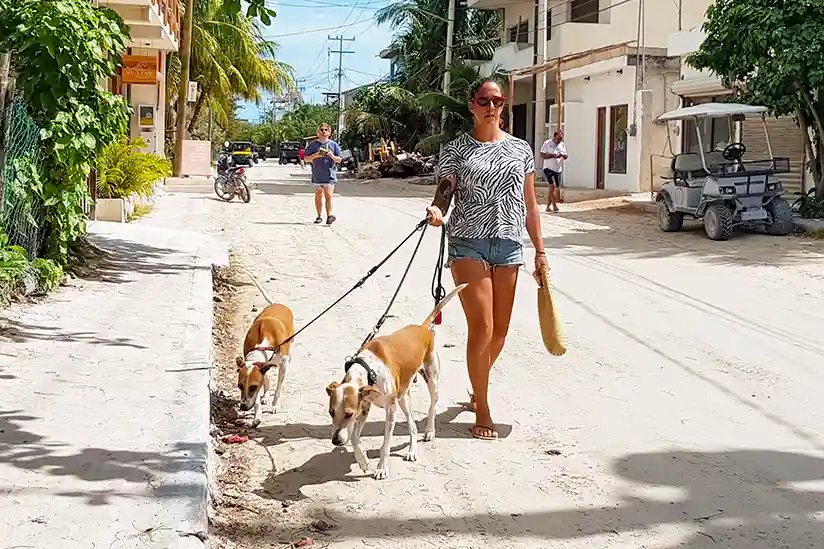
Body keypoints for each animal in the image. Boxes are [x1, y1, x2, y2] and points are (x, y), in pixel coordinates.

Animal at [235, 272, 296, 426]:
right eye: (239, 385)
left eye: (252, 387)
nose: (243, 407)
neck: (262, 346)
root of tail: (276, 303)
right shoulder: (261, 369)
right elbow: (262, 383)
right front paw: (257, 414)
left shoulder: (283, 364)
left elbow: (279, 387)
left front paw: (275, 405)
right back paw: (265, 396)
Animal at [328, 282, 470, 480]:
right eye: (331, 412)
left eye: (348, 414)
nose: (335, 441)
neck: (369, 368)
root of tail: (423, 328)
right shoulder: (364, 406)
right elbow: (355, 437)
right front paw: (362, 460)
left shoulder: (390, 410)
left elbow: (385, 445)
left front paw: (381, 468)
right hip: (404, 397)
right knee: (413, 426)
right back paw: (412, 450)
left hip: (431, 383)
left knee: (432, 408)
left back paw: (429, 431)